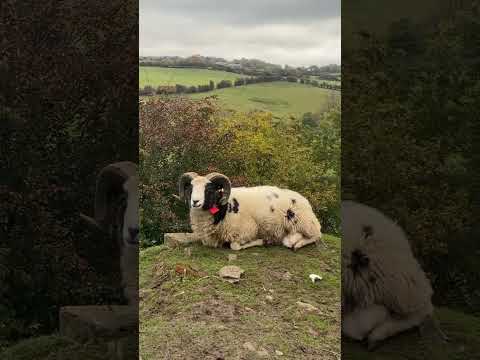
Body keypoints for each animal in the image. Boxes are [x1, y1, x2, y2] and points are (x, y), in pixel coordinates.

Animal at [177, 172, 322, 250]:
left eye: (209, 190)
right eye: (190, 188)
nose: (195, 202)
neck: (224, 209)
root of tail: (304, 200)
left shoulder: (248, 230)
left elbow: (235, 246)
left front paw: (262, 241)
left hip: (305, 223)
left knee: (316, 236)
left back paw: (296, 244)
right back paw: (292, 239)